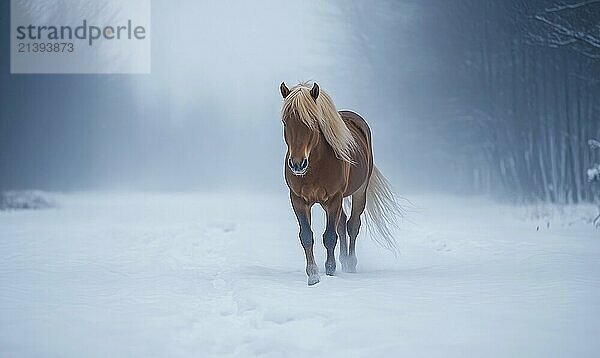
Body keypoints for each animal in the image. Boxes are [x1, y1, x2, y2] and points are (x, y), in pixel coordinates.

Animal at [280, 81, 404, 286]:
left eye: (313, 121)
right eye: (285, 121)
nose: (297, 164)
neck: (315, 166)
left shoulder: (334, 199)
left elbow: (330, 237)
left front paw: (330, 272)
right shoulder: (298, 200)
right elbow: (306, 236)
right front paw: (313, 275)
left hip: (359, 192)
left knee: (352, 224)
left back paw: (350, 263)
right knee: (342, 222)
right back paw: (344, 260)